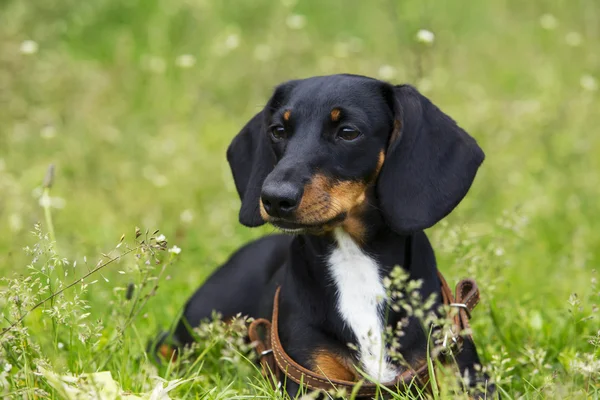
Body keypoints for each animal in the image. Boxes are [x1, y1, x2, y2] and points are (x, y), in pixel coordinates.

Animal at [169, 74, 492, 396]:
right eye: (277, 130)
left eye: (348, 132)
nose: (274, 198)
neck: (354, 262)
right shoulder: (312, 377)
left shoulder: (458, 371)